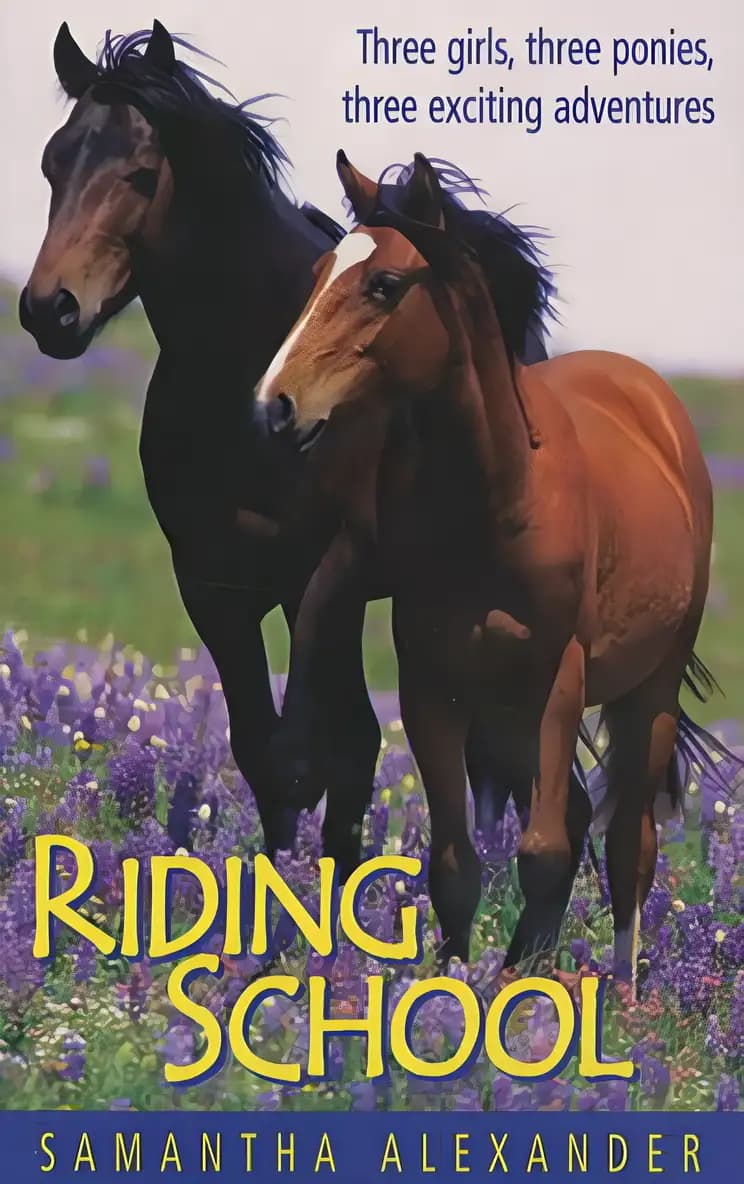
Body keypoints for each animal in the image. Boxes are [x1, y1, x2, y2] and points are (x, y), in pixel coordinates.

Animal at [256, 151, 725, 982]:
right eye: (317, 272)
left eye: (384, 284)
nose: (275, 403)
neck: (499, 500)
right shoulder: (434, 685)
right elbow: (454, 862)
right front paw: (455, 983)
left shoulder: (557, 679)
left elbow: (543, 851)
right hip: (506, 710)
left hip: (646, 690)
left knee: (627, 842)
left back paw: (625, 988)